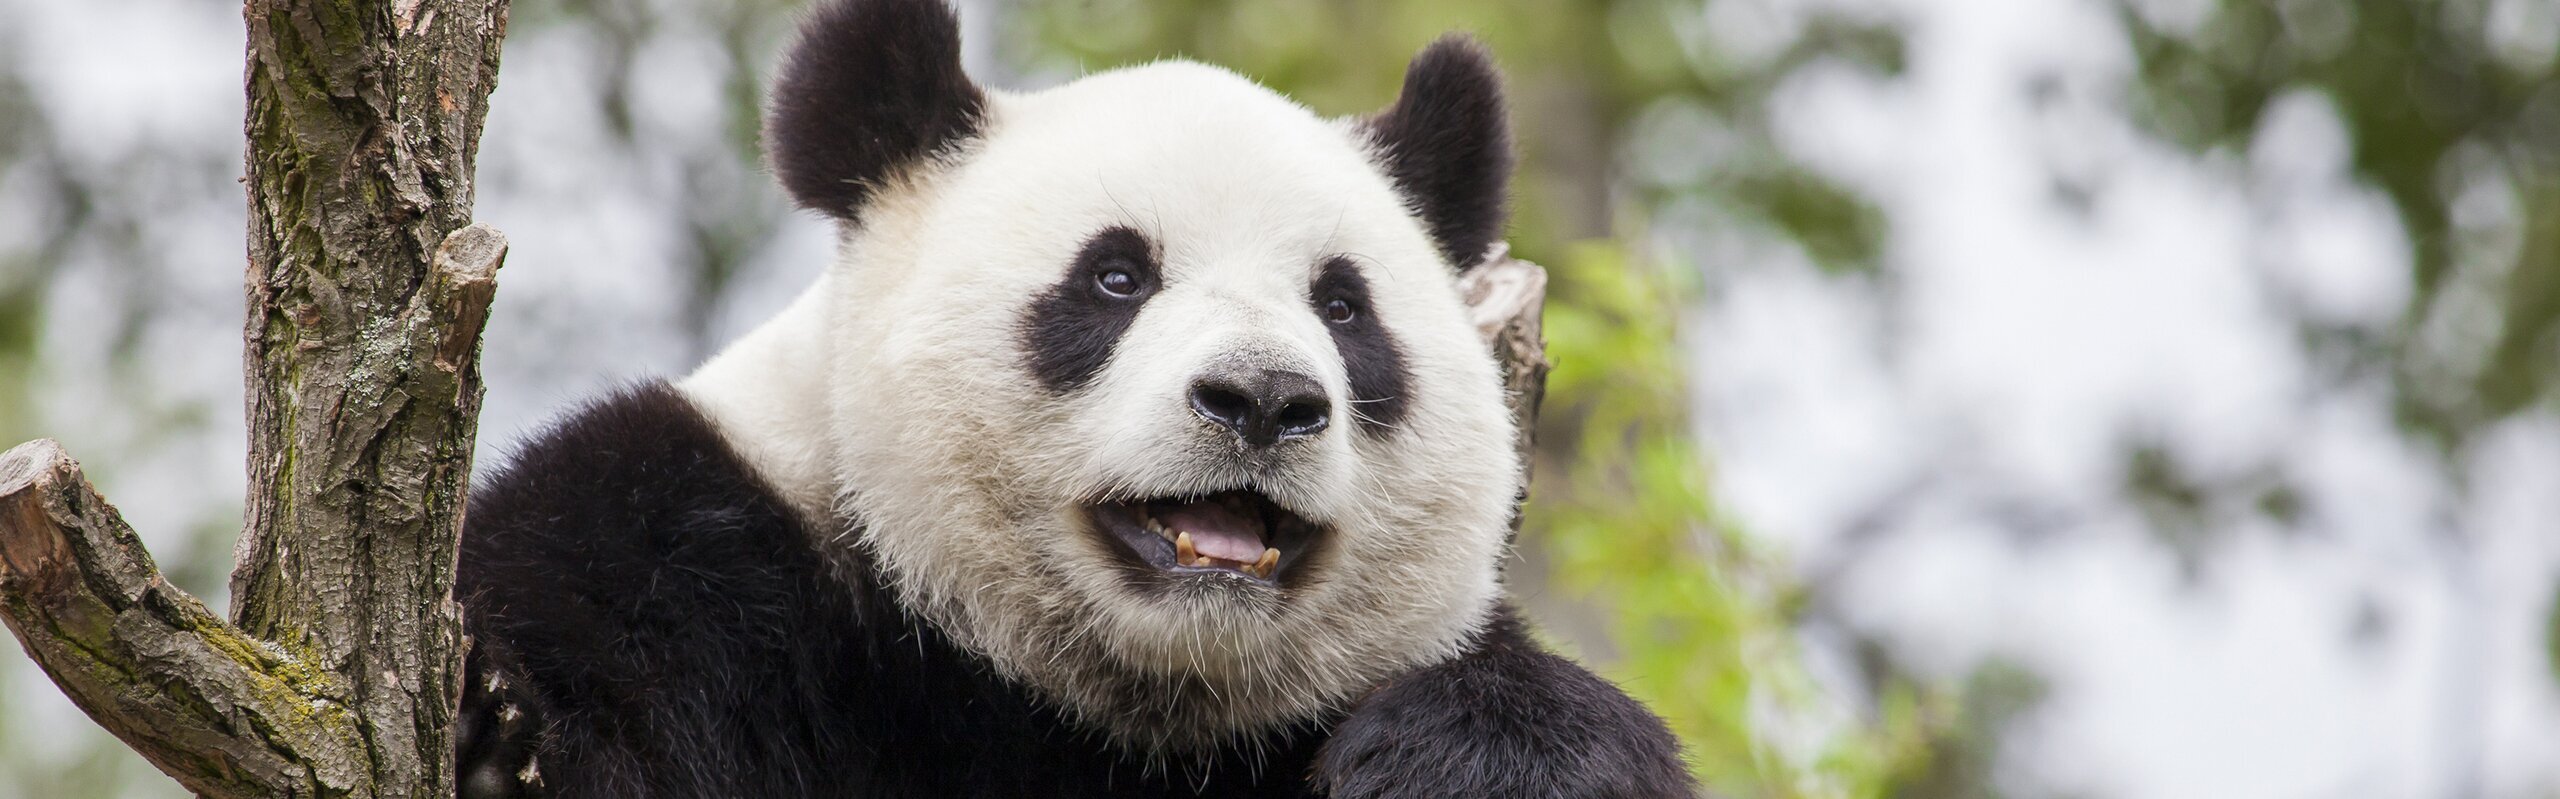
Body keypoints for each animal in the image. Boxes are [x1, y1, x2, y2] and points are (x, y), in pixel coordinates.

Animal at [452, 0, 1693, 796]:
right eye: (1115, 277)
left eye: (1344, 307)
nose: (1262, 398)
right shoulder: (690, 560)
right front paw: (500, 742)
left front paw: (1451, 760)